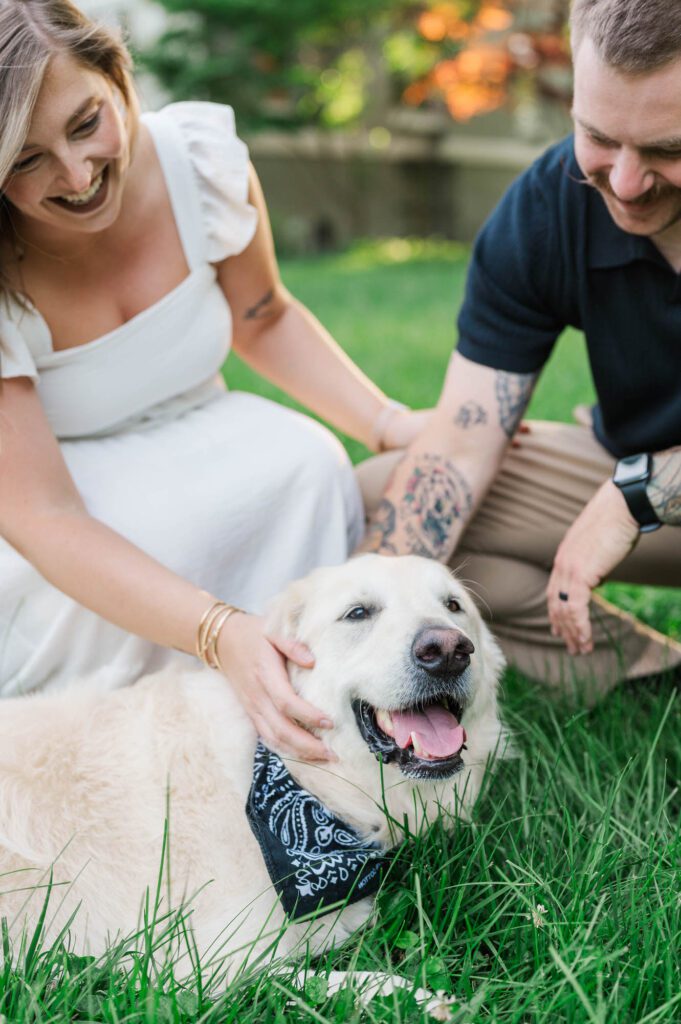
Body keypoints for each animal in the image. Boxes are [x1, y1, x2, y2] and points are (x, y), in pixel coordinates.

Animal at [0, 557, 501, 970]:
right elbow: (359, 984)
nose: (447, 650)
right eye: (358, 613)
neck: (303, 778)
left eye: (453, 606)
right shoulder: (214, 967)